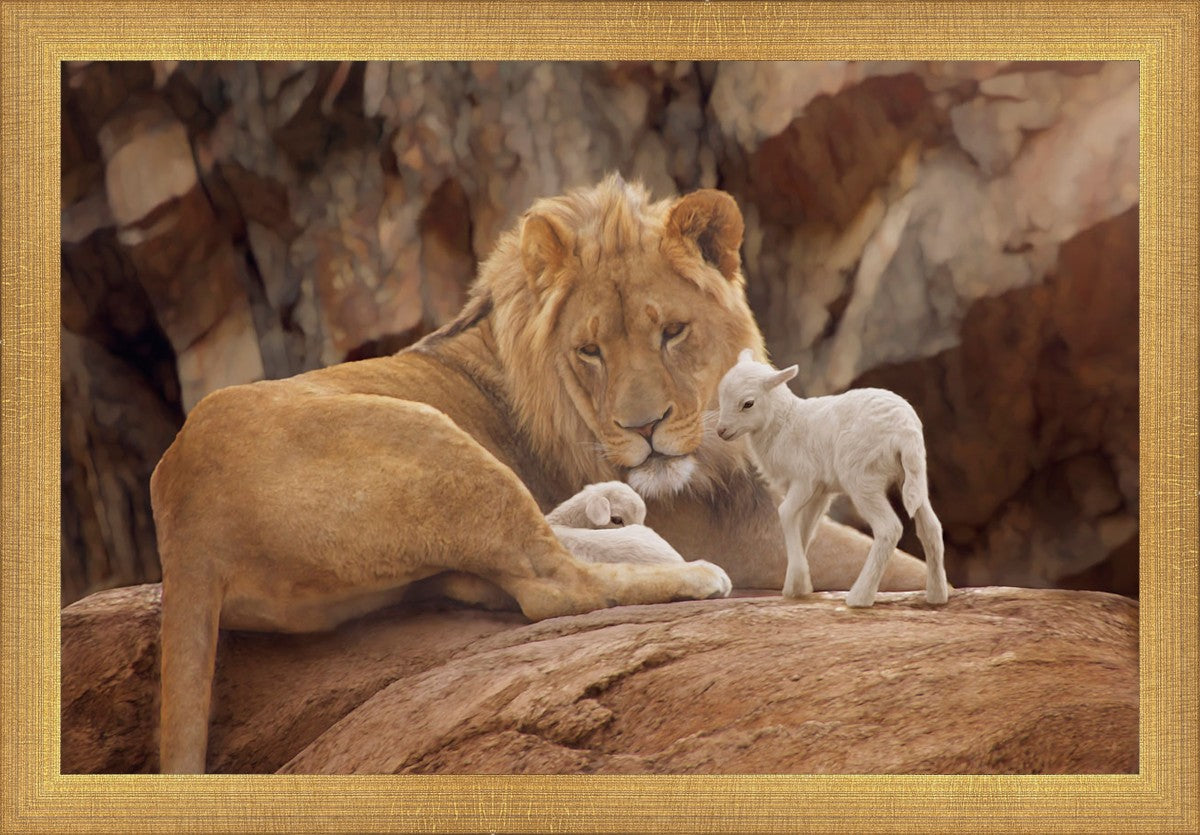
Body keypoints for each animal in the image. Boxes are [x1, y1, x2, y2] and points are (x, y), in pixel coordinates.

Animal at [715, 349, 949, 608]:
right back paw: (937, 595)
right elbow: (805, 528)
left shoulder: (804, 479)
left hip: (862, 477)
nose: (721, 431)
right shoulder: (820, 492)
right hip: (913, 475)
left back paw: (859, 597)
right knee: (931, 527)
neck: (784, 423)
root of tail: (905, 431)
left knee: (889, 528)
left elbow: (785, 513)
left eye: (748, 403)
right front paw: (797, 585)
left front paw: (797, 581)